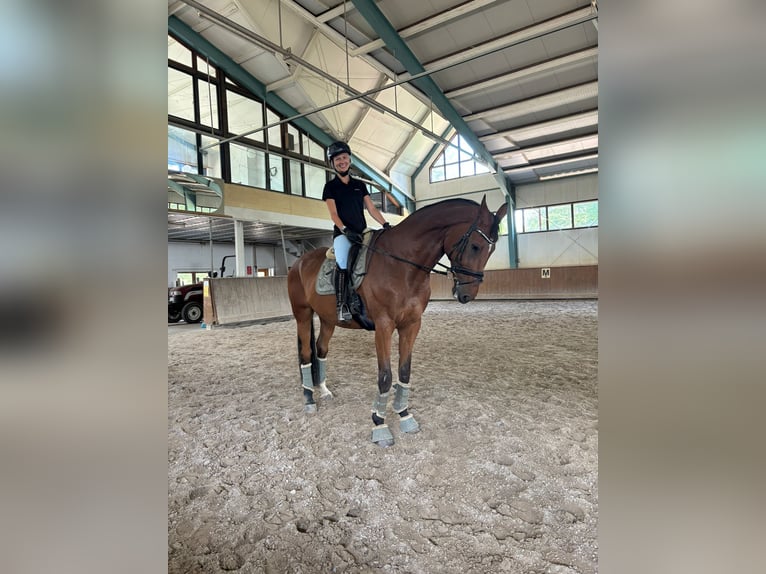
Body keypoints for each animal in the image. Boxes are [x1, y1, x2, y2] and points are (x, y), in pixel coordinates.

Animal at [288, 196, 510, 448]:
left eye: (492, 249)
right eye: (475, 246)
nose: (466, 295)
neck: (403, 265)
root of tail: (299, 262)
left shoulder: (411, 325)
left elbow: (404, 372)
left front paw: (404, 415)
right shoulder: (383, 326)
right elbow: (385, 376)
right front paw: (379, 425)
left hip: (328, 319)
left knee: (321, 349)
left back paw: (324, 390)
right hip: (303, 314)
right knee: (306, 353)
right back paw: (309, 399)